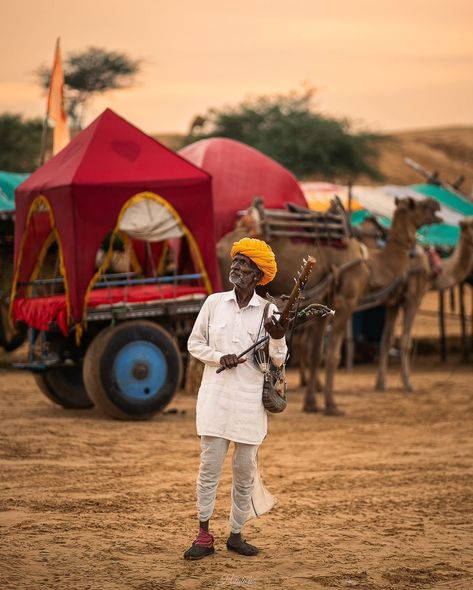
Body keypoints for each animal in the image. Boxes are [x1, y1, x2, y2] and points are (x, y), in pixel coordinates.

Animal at [216, 197, 440, 414]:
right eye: (419, 205)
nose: (436, 206)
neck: (371, 264)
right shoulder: (347, 302)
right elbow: (333, 354)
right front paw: (331, 405)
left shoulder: (325, 305)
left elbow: (317, 354)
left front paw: (311, 403)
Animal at [374, 217, 472, 394]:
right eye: (471, 224)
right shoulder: (413, 298)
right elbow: (406, 341)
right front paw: (407, 383)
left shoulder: (393, 303)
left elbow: (386, 340)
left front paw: (381, 383)